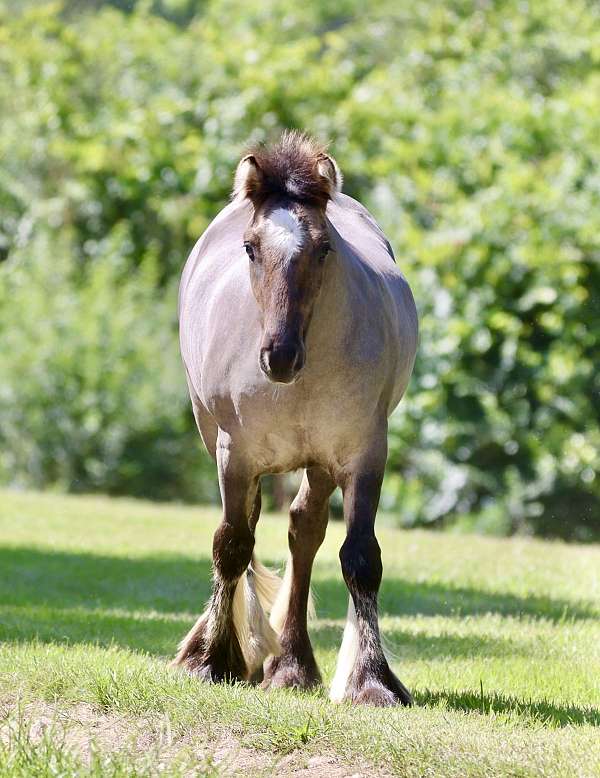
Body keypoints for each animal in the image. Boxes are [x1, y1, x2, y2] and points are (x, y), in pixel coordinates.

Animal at [172, 129, 418, 704]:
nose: (279, 356)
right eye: (250, 247)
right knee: (251, 527)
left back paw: (292, 665)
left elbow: (361, 559)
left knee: (304, 531)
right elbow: (231, 544)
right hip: (222, 442)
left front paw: (372, 681)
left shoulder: (363, 455)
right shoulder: (235, 454)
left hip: (321, 462)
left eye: (324, 248)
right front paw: (211, 661)